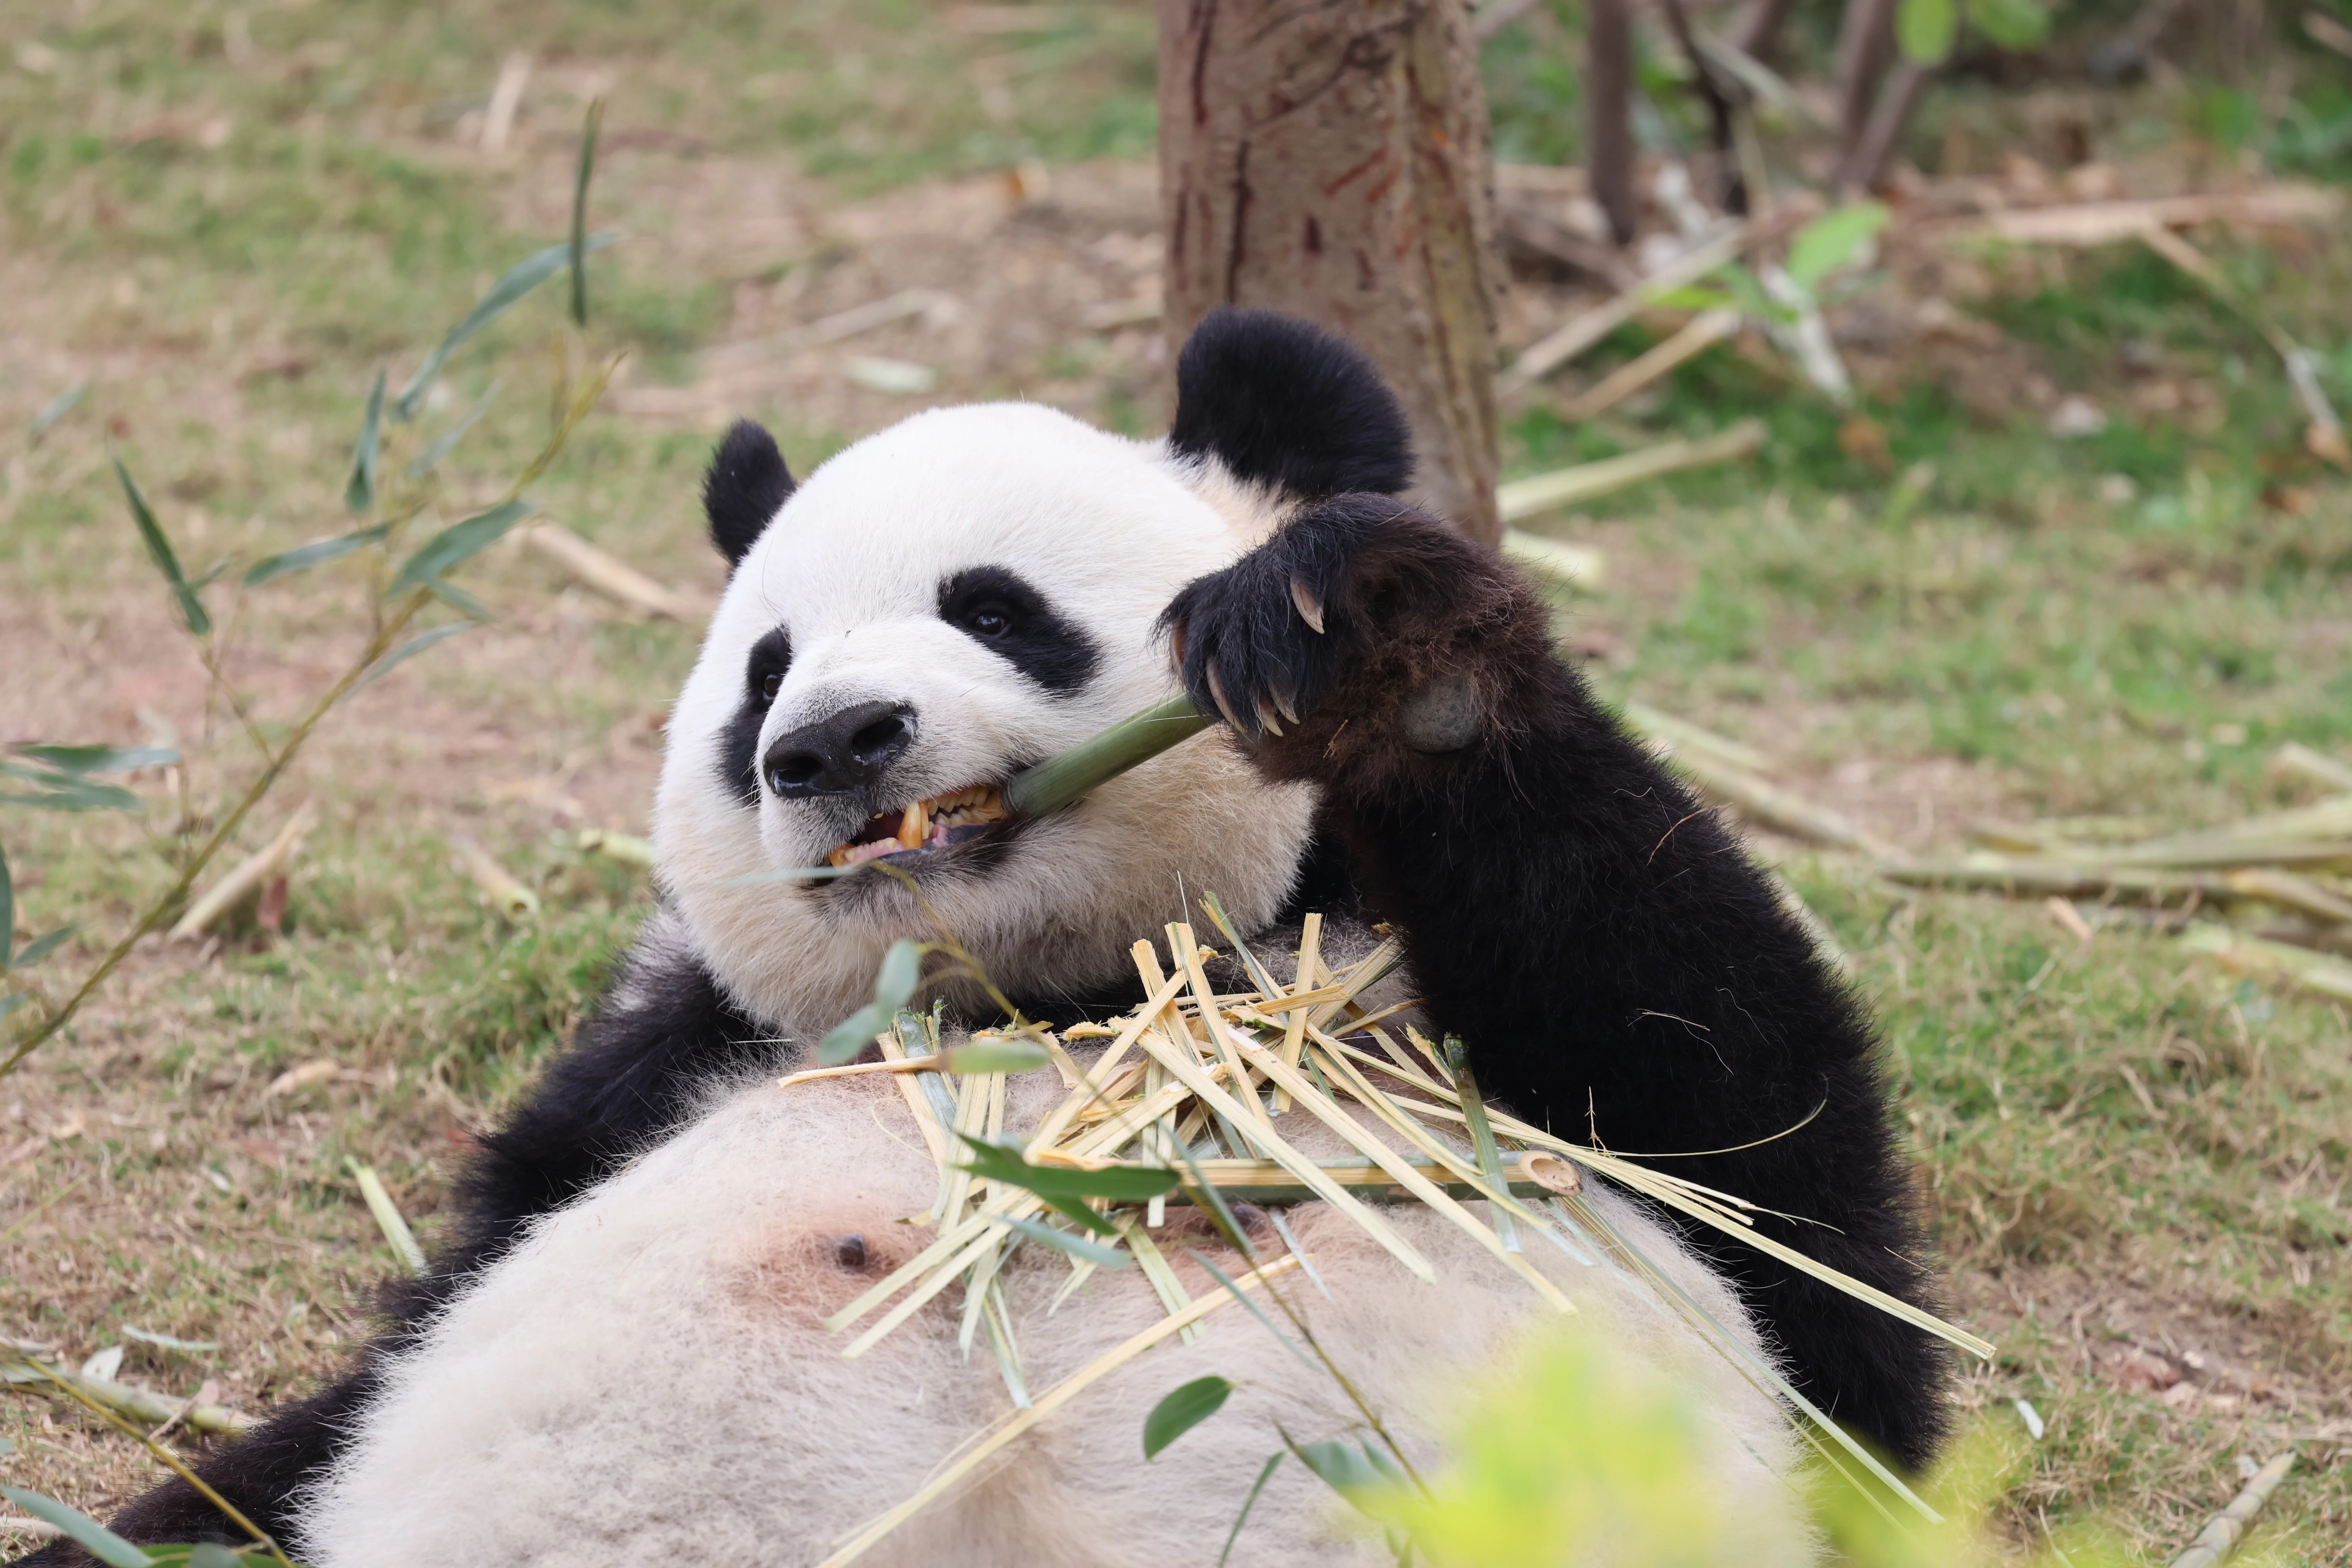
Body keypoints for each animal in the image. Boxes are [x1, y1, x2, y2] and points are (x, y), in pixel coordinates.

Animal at [32, 310, 1947, 1566]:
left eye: (996, 609)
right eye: (761, 676)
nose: (833, 745)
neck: (1053, 994)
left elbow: (1789, 1216)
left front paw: (1383, 648)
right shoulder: (656, 1073)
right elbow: (319, 1412)